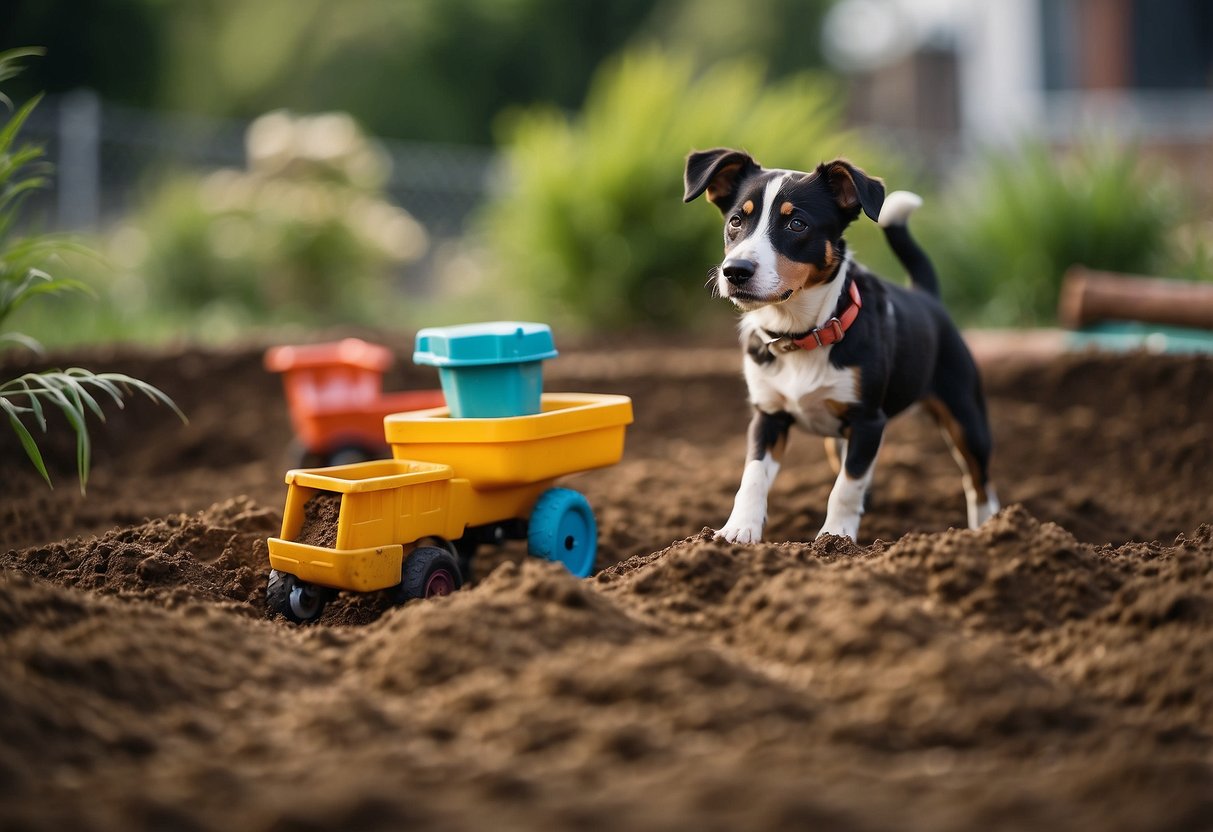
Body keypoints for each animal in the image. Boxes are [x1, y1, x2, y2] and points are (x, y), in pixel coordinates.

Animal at [684, 148, 994, 540]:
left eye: (796, 224)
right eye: (736, 221)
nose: (735, 271)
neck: (800, 336)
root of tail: (926, 297)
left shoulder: (867, 421)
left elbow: (845, 487)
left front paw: (836, 539)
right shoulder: (768, 415)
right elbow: (752, 476)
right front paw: (739, 530)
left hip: (965, 413)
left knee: (978, 478)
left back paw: (989, 527)